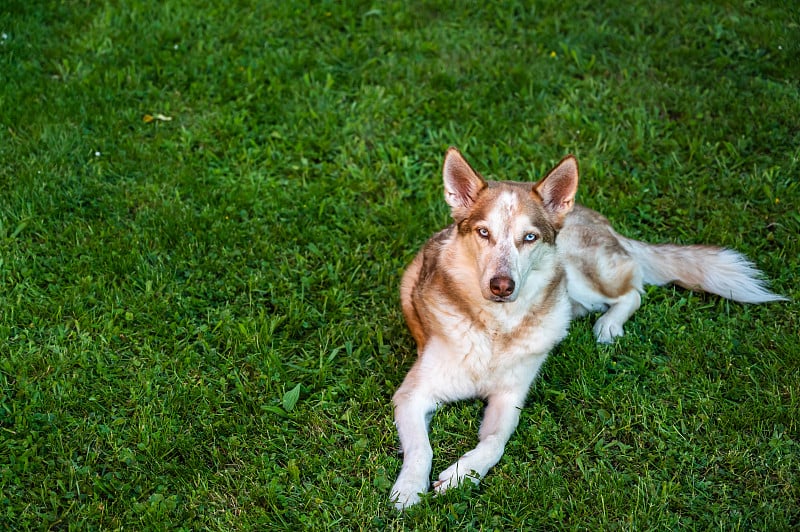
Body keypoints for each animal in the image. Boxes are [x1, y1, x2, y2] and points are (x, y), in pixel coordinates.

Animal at [390, 148, 784, 510]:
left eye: (529, 238)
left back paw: (608, 326)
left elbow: (494, 444)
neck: (496, 330)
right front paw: (409, 488)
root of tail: (593, 215)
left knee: (632, 291)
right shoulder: (412, 395)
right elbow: (421, 449)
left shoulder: (510, 397)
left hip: (579, 276)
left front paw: (461, 474)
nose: (501, 285)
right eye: (483, 232)